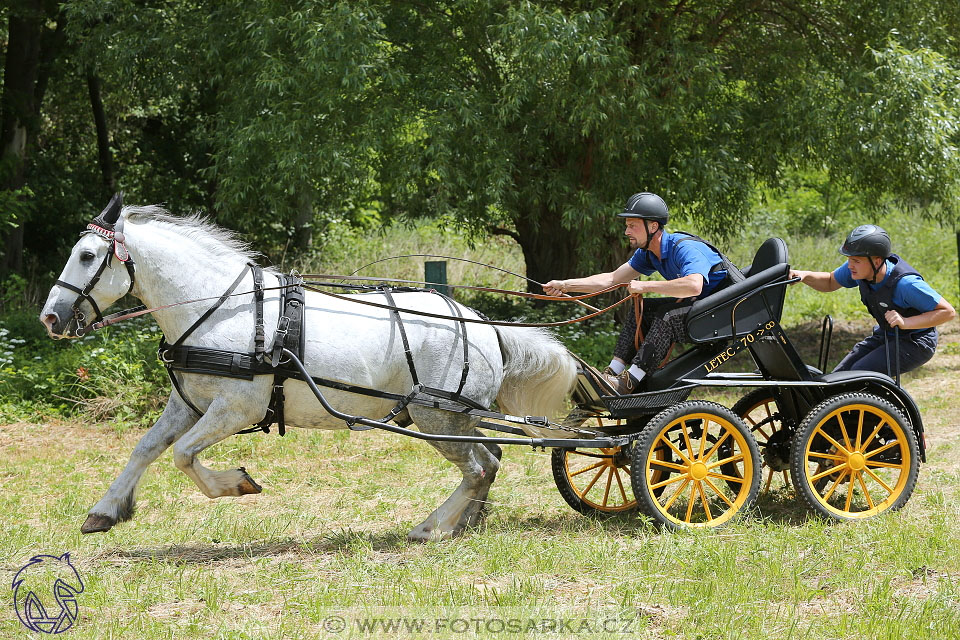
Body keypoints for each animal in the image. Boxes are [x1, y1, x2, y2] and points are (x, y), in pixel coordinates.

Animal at [41, 201, 572, 540]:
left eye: (87, 255)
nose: (51, 317)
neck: (222, 309)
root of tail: (484, 324)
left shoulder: (236, 407)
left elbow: (184, 456)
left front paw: (236, 482)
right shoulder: (189, 403)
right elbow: (147, 448)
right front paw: (105, 510)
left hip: (436, 416)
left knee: (479, 466)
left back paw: (433, 527)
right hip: (450, 417)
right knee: (491, 458)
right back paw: (467, 523)